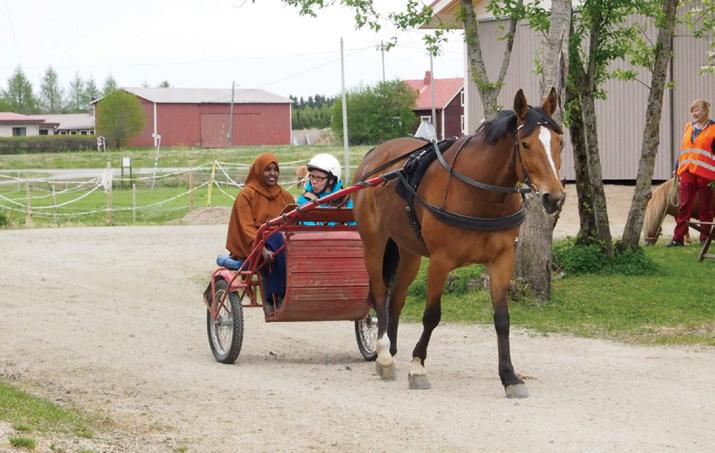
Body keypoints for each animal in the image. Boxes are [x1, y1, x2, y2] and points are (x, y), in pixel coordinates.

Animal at [352, 87, 564, 396]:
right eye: (525, 145)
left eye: (560, 142)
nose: (554, 197)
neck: (481, 194)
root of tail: (372, 158)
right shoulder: (441, 261)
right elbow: (432, 315)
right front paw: (418, 366)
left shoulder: (502, 260)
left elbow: (502, 319)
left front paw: (509, 376)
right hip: (374, 243)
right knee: (380, 294)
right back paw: (383, 354)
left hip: (409, 251)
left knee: (397, 299)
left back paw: (389, 351)